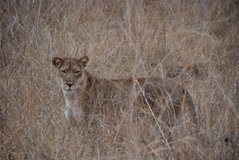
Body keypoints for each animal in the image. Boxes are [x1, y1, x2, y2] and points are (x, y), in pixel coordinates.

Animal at [52, 56, 198, 129]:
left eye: (77, 72)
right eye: (64, 71)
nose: (69, 84)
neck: (71, 96)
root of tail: (179, 85)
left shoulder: (91, 123)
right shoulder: (73, 125)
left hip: (164, 121)